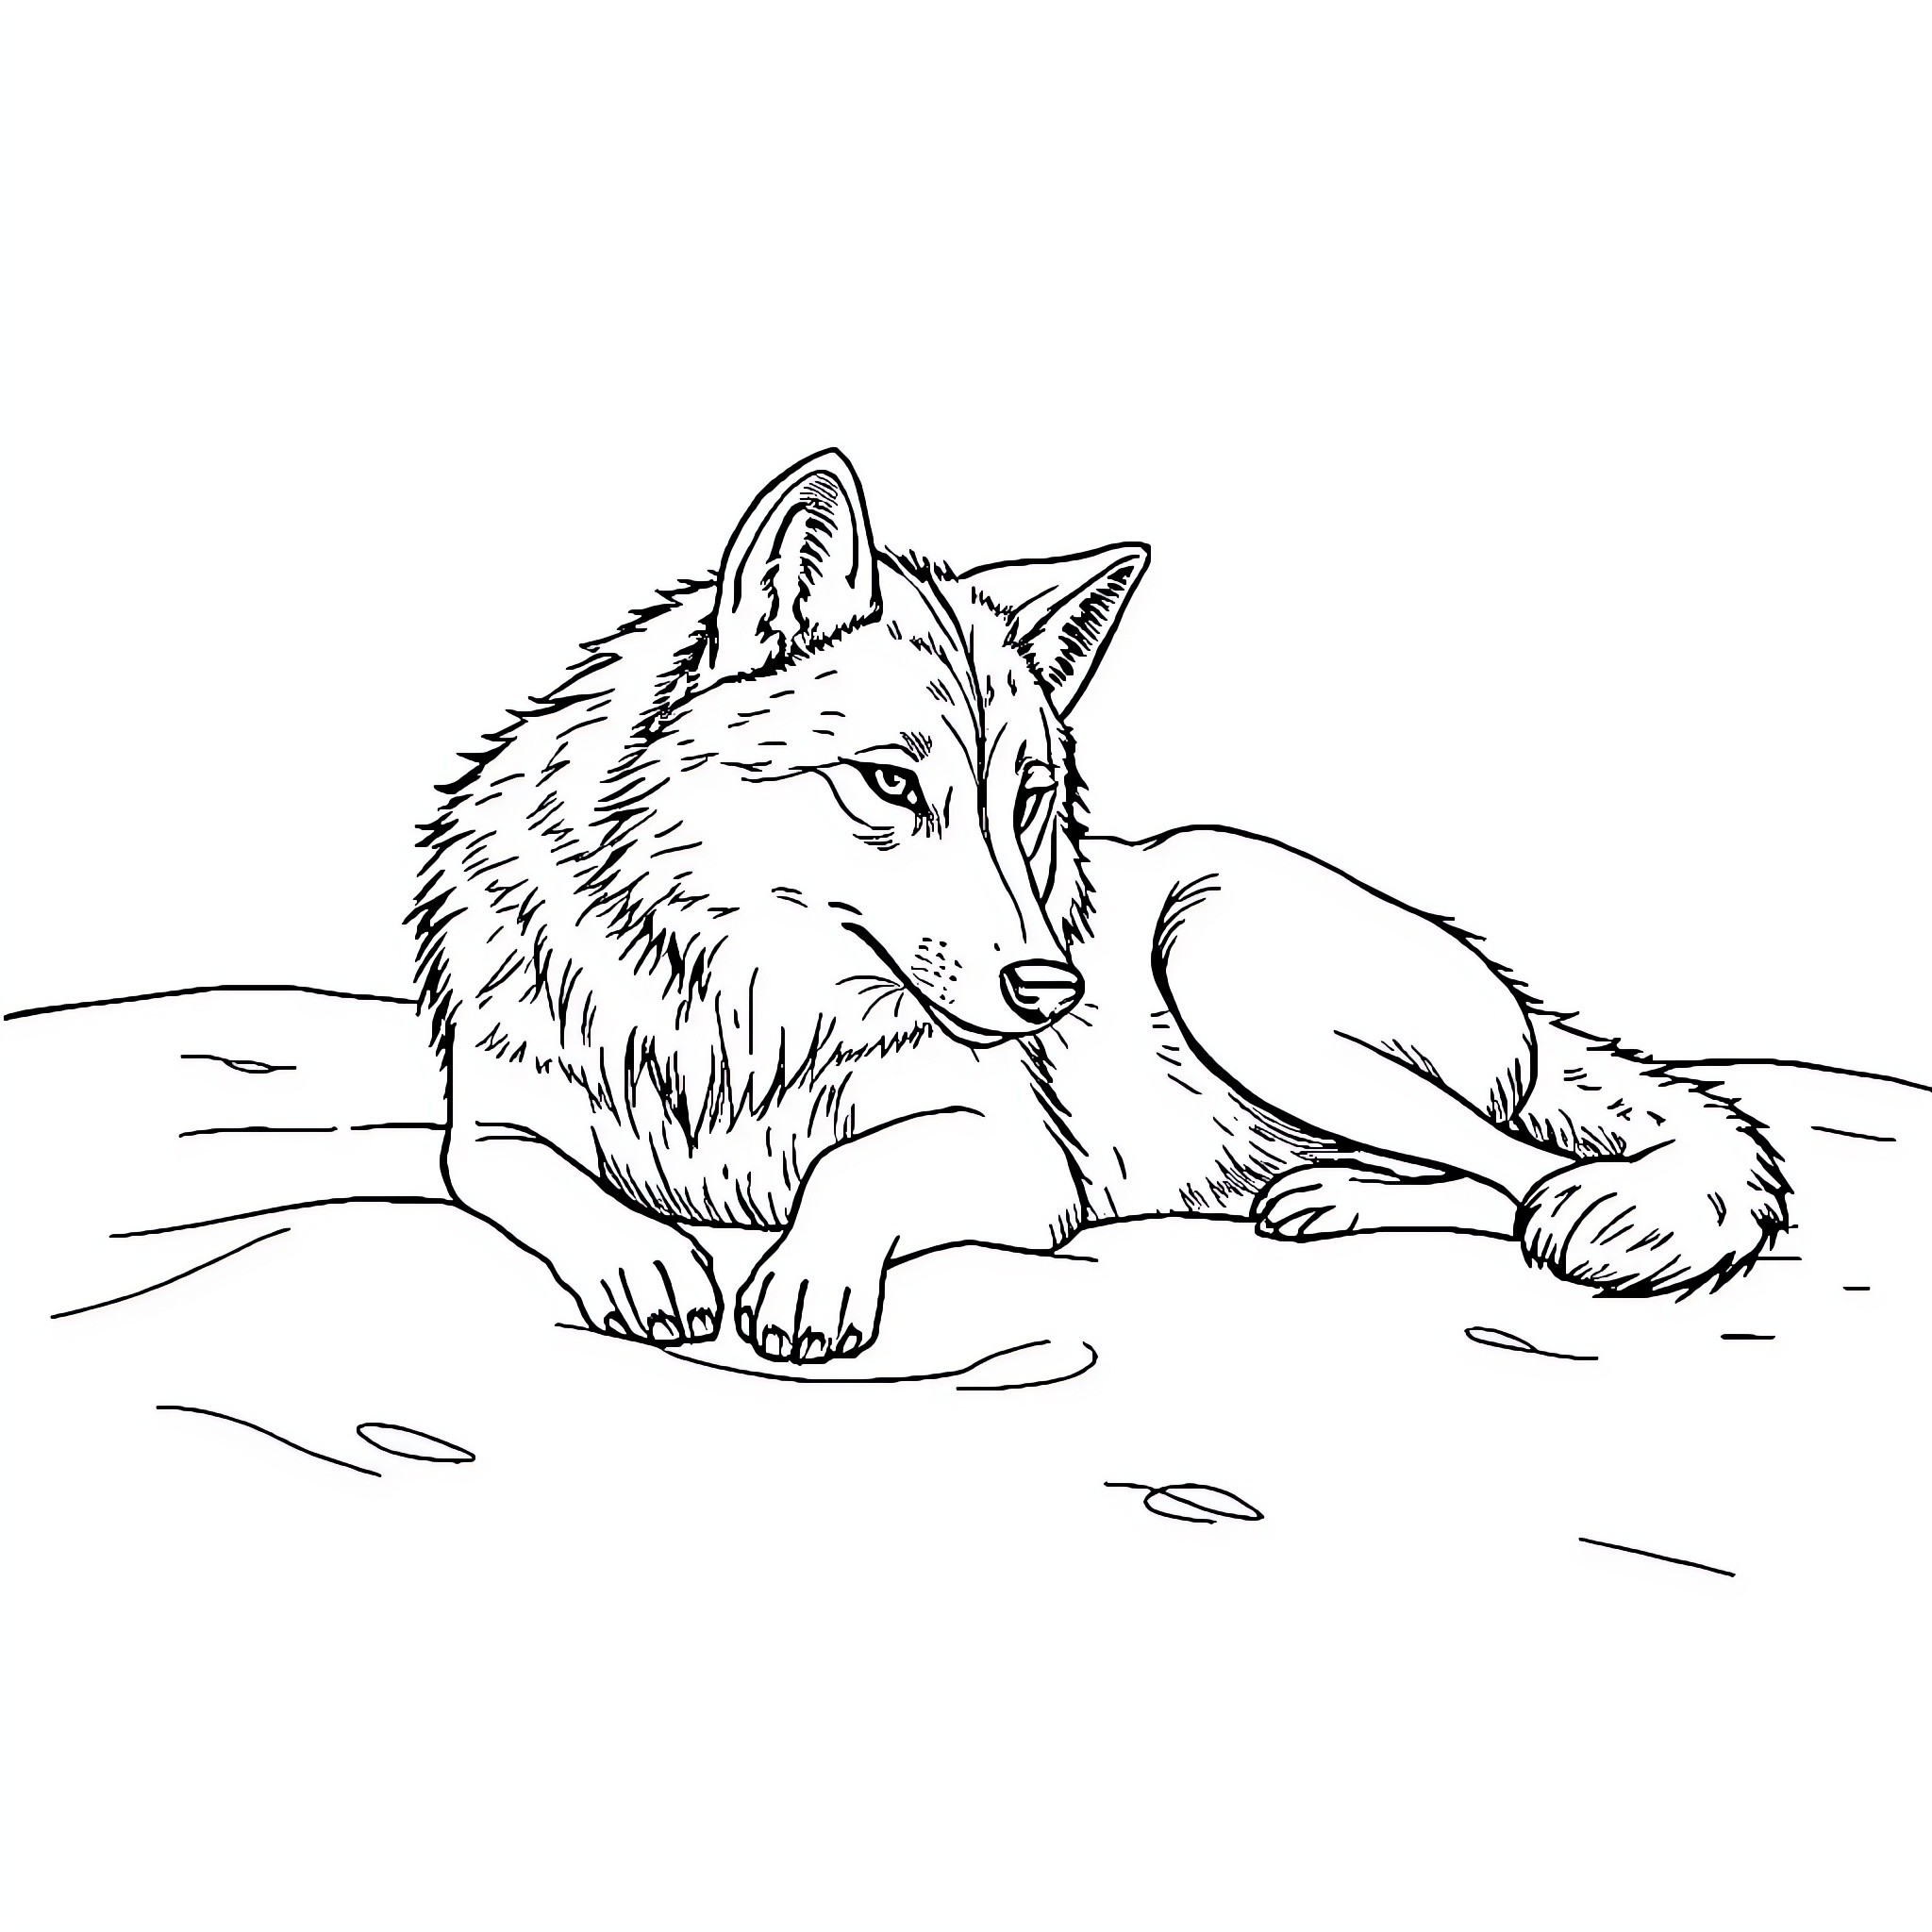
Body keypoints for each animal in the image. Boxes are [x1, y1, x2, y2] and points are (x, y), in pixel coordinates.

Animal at [413, 451, 1789, 1362]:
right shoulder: (490, 1131)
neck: (739, 1007)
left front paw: (805, 1275)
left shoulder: (1021, 1162)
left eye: (1027, 800)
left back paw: (1343, 1197)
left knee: (1519, 1172)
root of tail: (1523, 1004)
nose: (1050, 990)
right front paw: (643, 1257)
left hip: (1225, 963)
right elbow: (547, 1188)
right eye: (891, 783)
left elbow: (850, 1171)